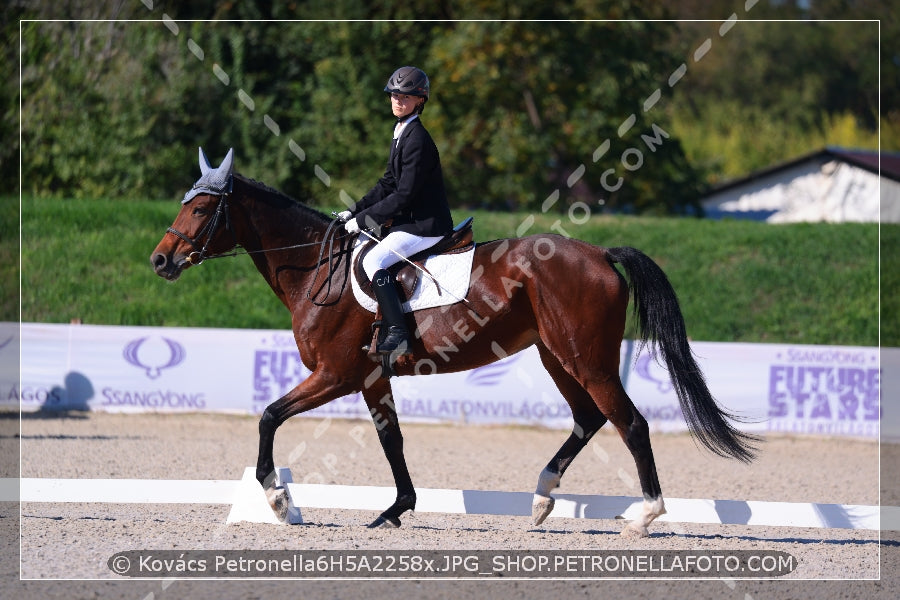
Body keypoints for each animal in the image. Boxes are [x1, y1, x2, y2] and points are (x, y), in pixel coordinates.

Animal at [151, 148, 756, 536]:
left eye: (200, 209)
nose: (160, 260)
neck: (317, 270)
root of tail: (600, 253)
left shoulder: (337, 375)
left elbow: (270, 416)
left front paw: (280, 501)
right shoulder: (372, 378)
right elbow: (391, 441)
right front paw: (397, 509)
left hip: (586, 358)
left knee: (629, 423)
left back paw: (644, 516)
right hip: (555, 355)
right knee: (588, 417)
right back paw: (541, 499)